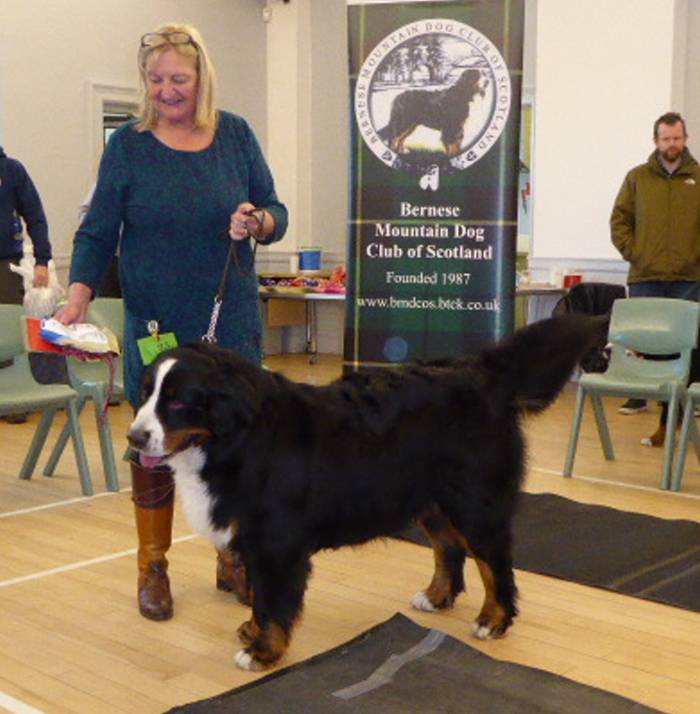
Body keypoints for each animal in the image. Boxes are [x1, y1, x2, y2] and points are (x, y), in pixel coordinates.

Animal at [129, 312, 604, 668]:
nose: (134, 438)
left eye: (177, 401)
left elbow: (271, 601)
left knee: (495, 563)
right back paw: (437, 596)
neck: (236, 438)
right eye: (145, 393)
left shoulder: (276, 544)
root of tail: (483, 374)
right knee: (449, 549)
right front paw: (254, 633)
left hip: (475, 502)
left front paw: (263, 651)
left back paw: (495, 619)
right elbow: (261, 599)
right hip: (431, 500)